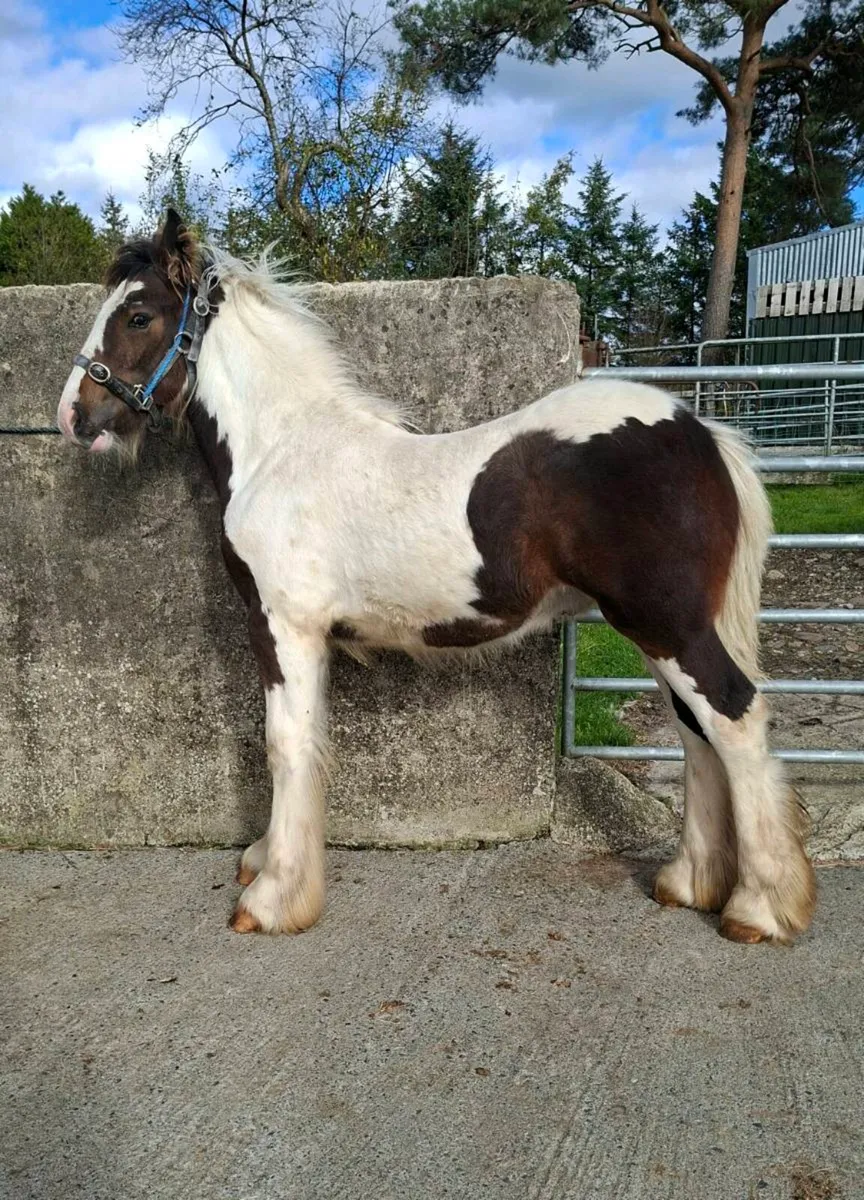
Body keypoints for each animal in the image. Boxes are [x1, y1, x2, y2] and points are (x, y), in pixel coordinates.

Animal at [57, 210, 816, 943]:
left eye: (138, 316)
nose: (73, 415)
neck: (281, 450)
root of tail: (700, 433)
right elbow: (305, 741)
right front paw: (269, 862)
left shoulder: (282, 627)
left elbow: (285, 744)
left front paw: (272, 899)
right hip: (663, 630)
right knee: (695, 731)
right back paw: (690, 882)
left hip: (668, 626)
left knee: (734, 718)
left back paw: (759, 909)